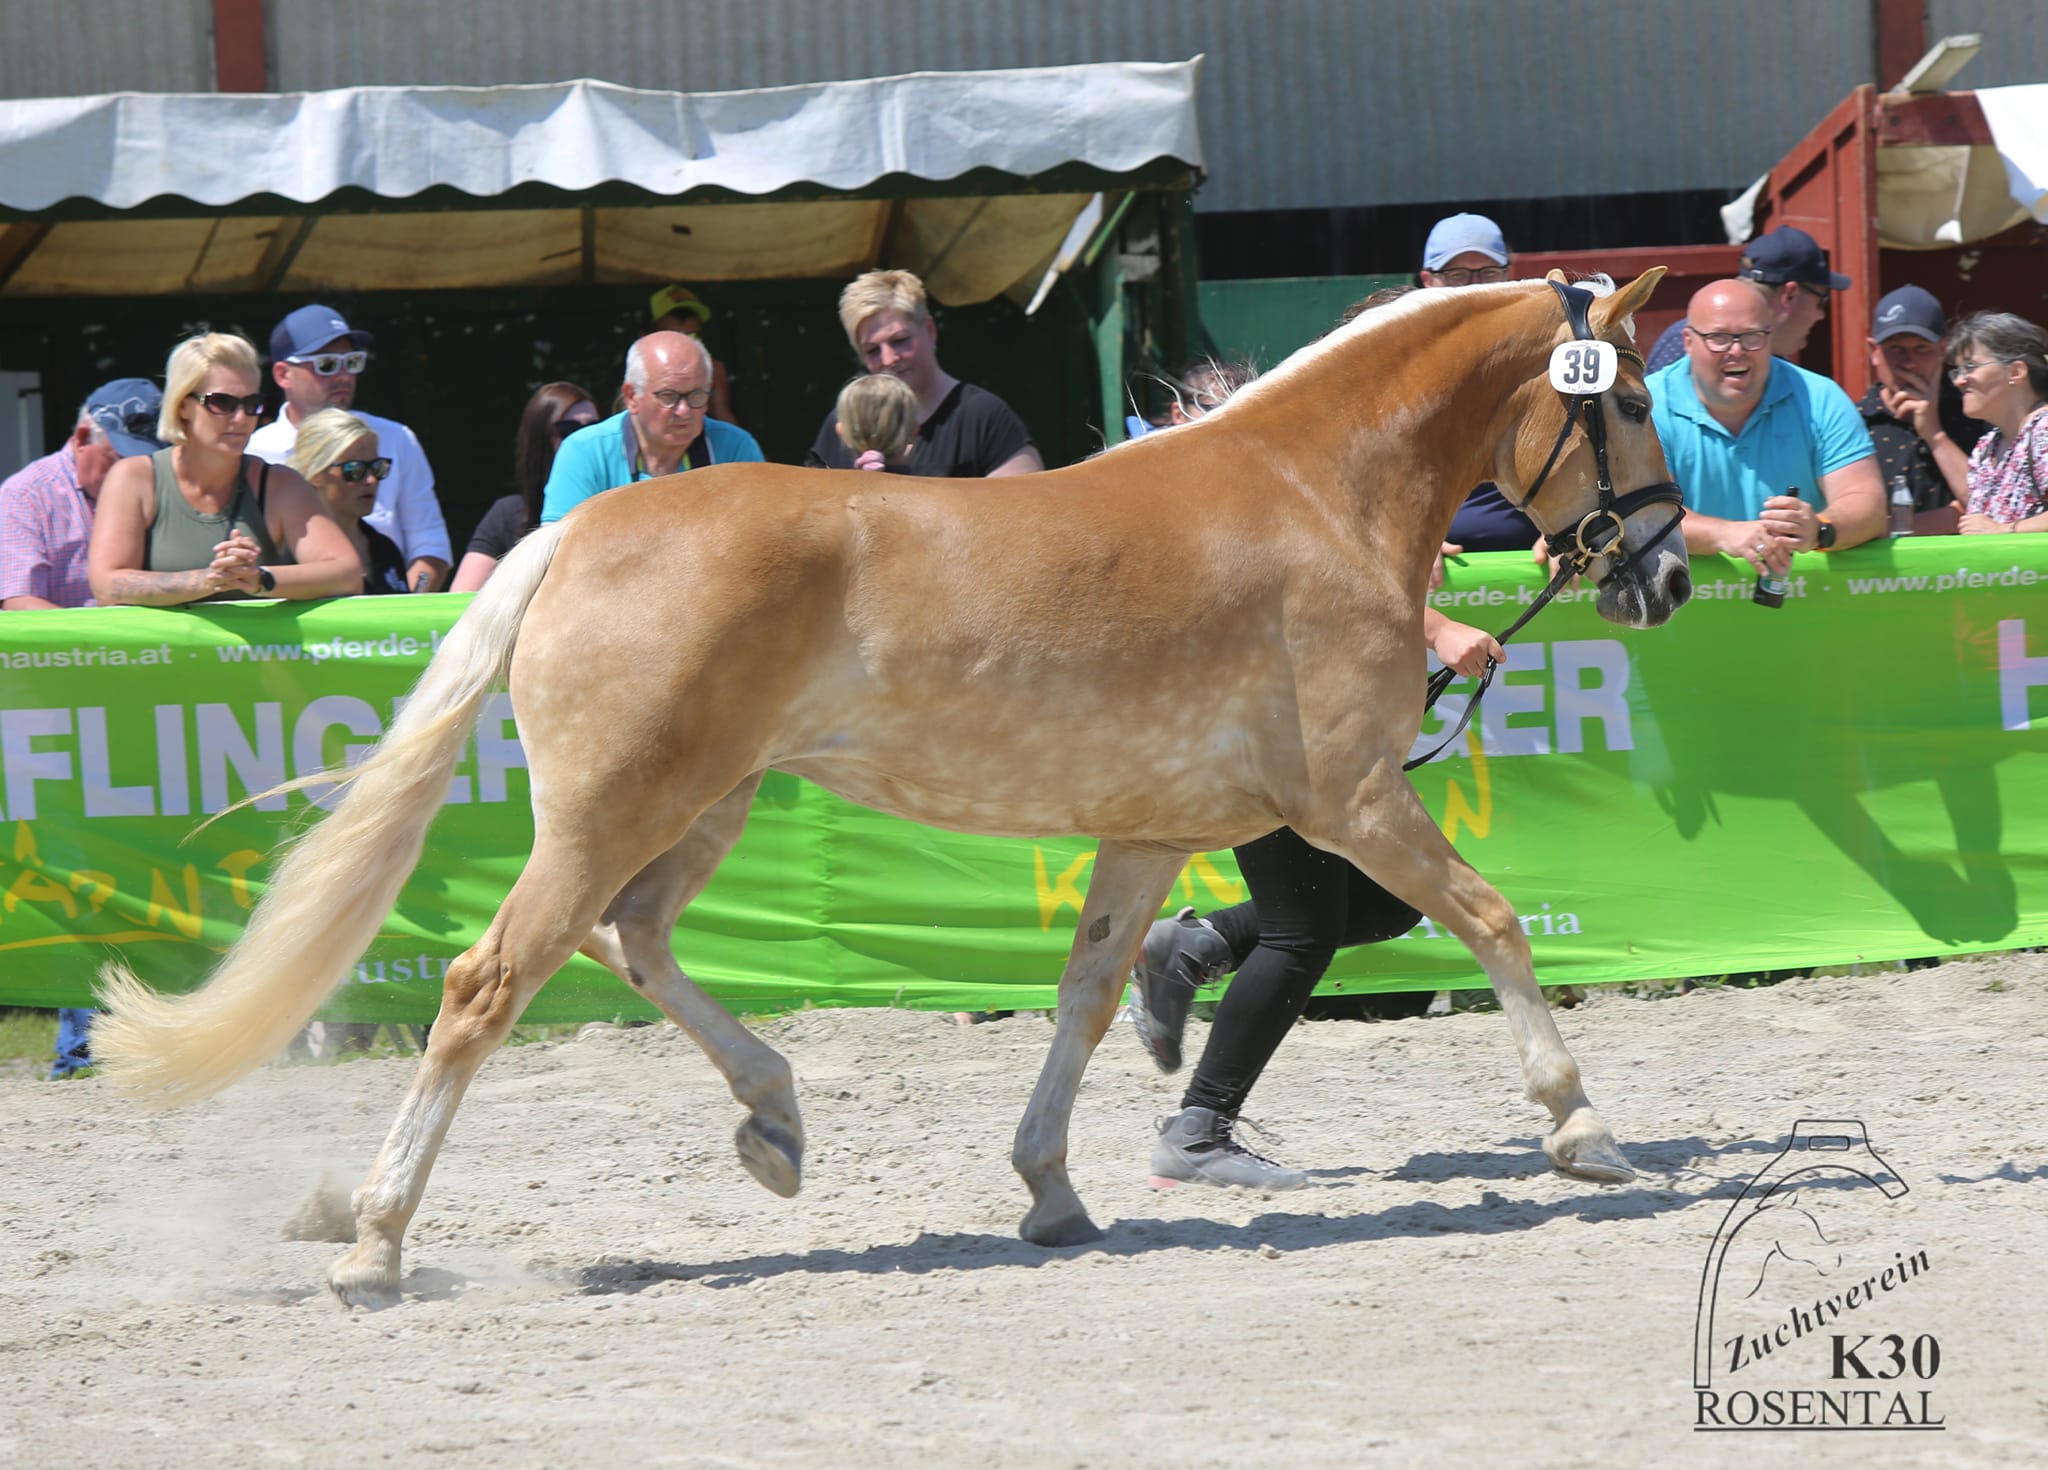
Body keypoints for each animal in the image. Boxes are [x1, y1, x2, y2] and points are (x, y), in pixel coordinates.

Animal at [96, 270, 1687, 1310]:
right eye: (1629, 402)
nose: (1666, 572)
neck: (1312, 496)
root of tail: (582, 529)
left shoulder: (1146, 831)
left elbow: (1086, 999)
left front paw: (1050, 1191)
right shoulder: (1351, 801)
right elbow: (1492, 920)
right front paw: (1583, 1130)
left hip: (704, 806)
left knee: (638, 939)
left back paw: (775, 1126)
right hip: (622, 809)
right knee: (492, 981)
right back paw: (374, 1243)